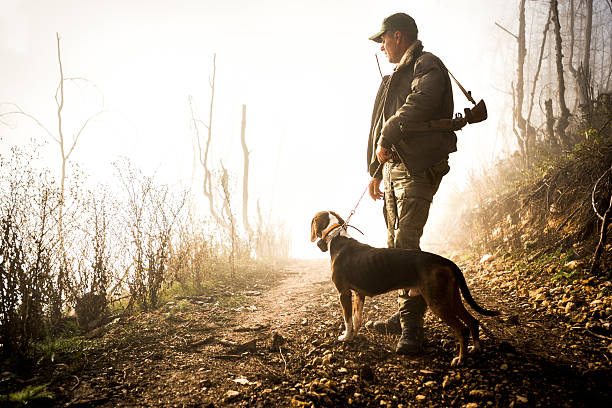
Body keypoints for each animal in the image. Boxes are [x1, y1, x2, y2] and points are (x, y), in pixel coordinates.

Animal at [308, 210, 500, 366]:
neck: (337, 238)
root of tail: (445, 261)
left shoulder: (344, 293)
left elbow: (348, 320)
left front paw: (346, 337)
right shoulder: (358, 294)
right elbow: (356, 318)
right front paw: (354, 334)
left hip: (437, 302)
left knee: (462, 329)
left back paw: (461, 359)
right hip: (450, 297)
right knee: (473, 321)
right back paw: (475, 348)